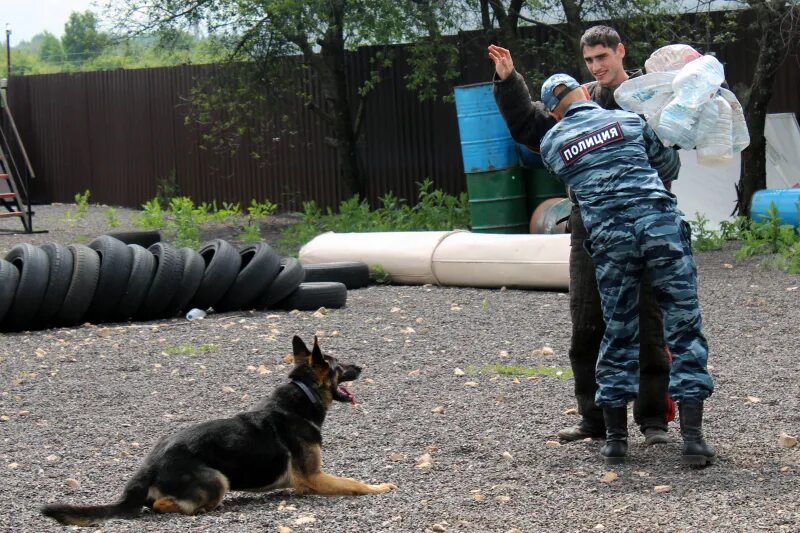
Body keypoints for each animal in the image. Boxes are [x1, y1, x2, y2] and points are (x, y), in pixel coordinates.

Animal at [40, 334, 396, 524]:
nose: (361, 366)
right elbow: (354, 483)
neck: (302, 395)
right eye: (340, 366)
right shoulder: (313, 478)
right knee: (162, 505)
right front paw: (379, 487)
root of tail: (150, 465)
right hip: (217, 481)